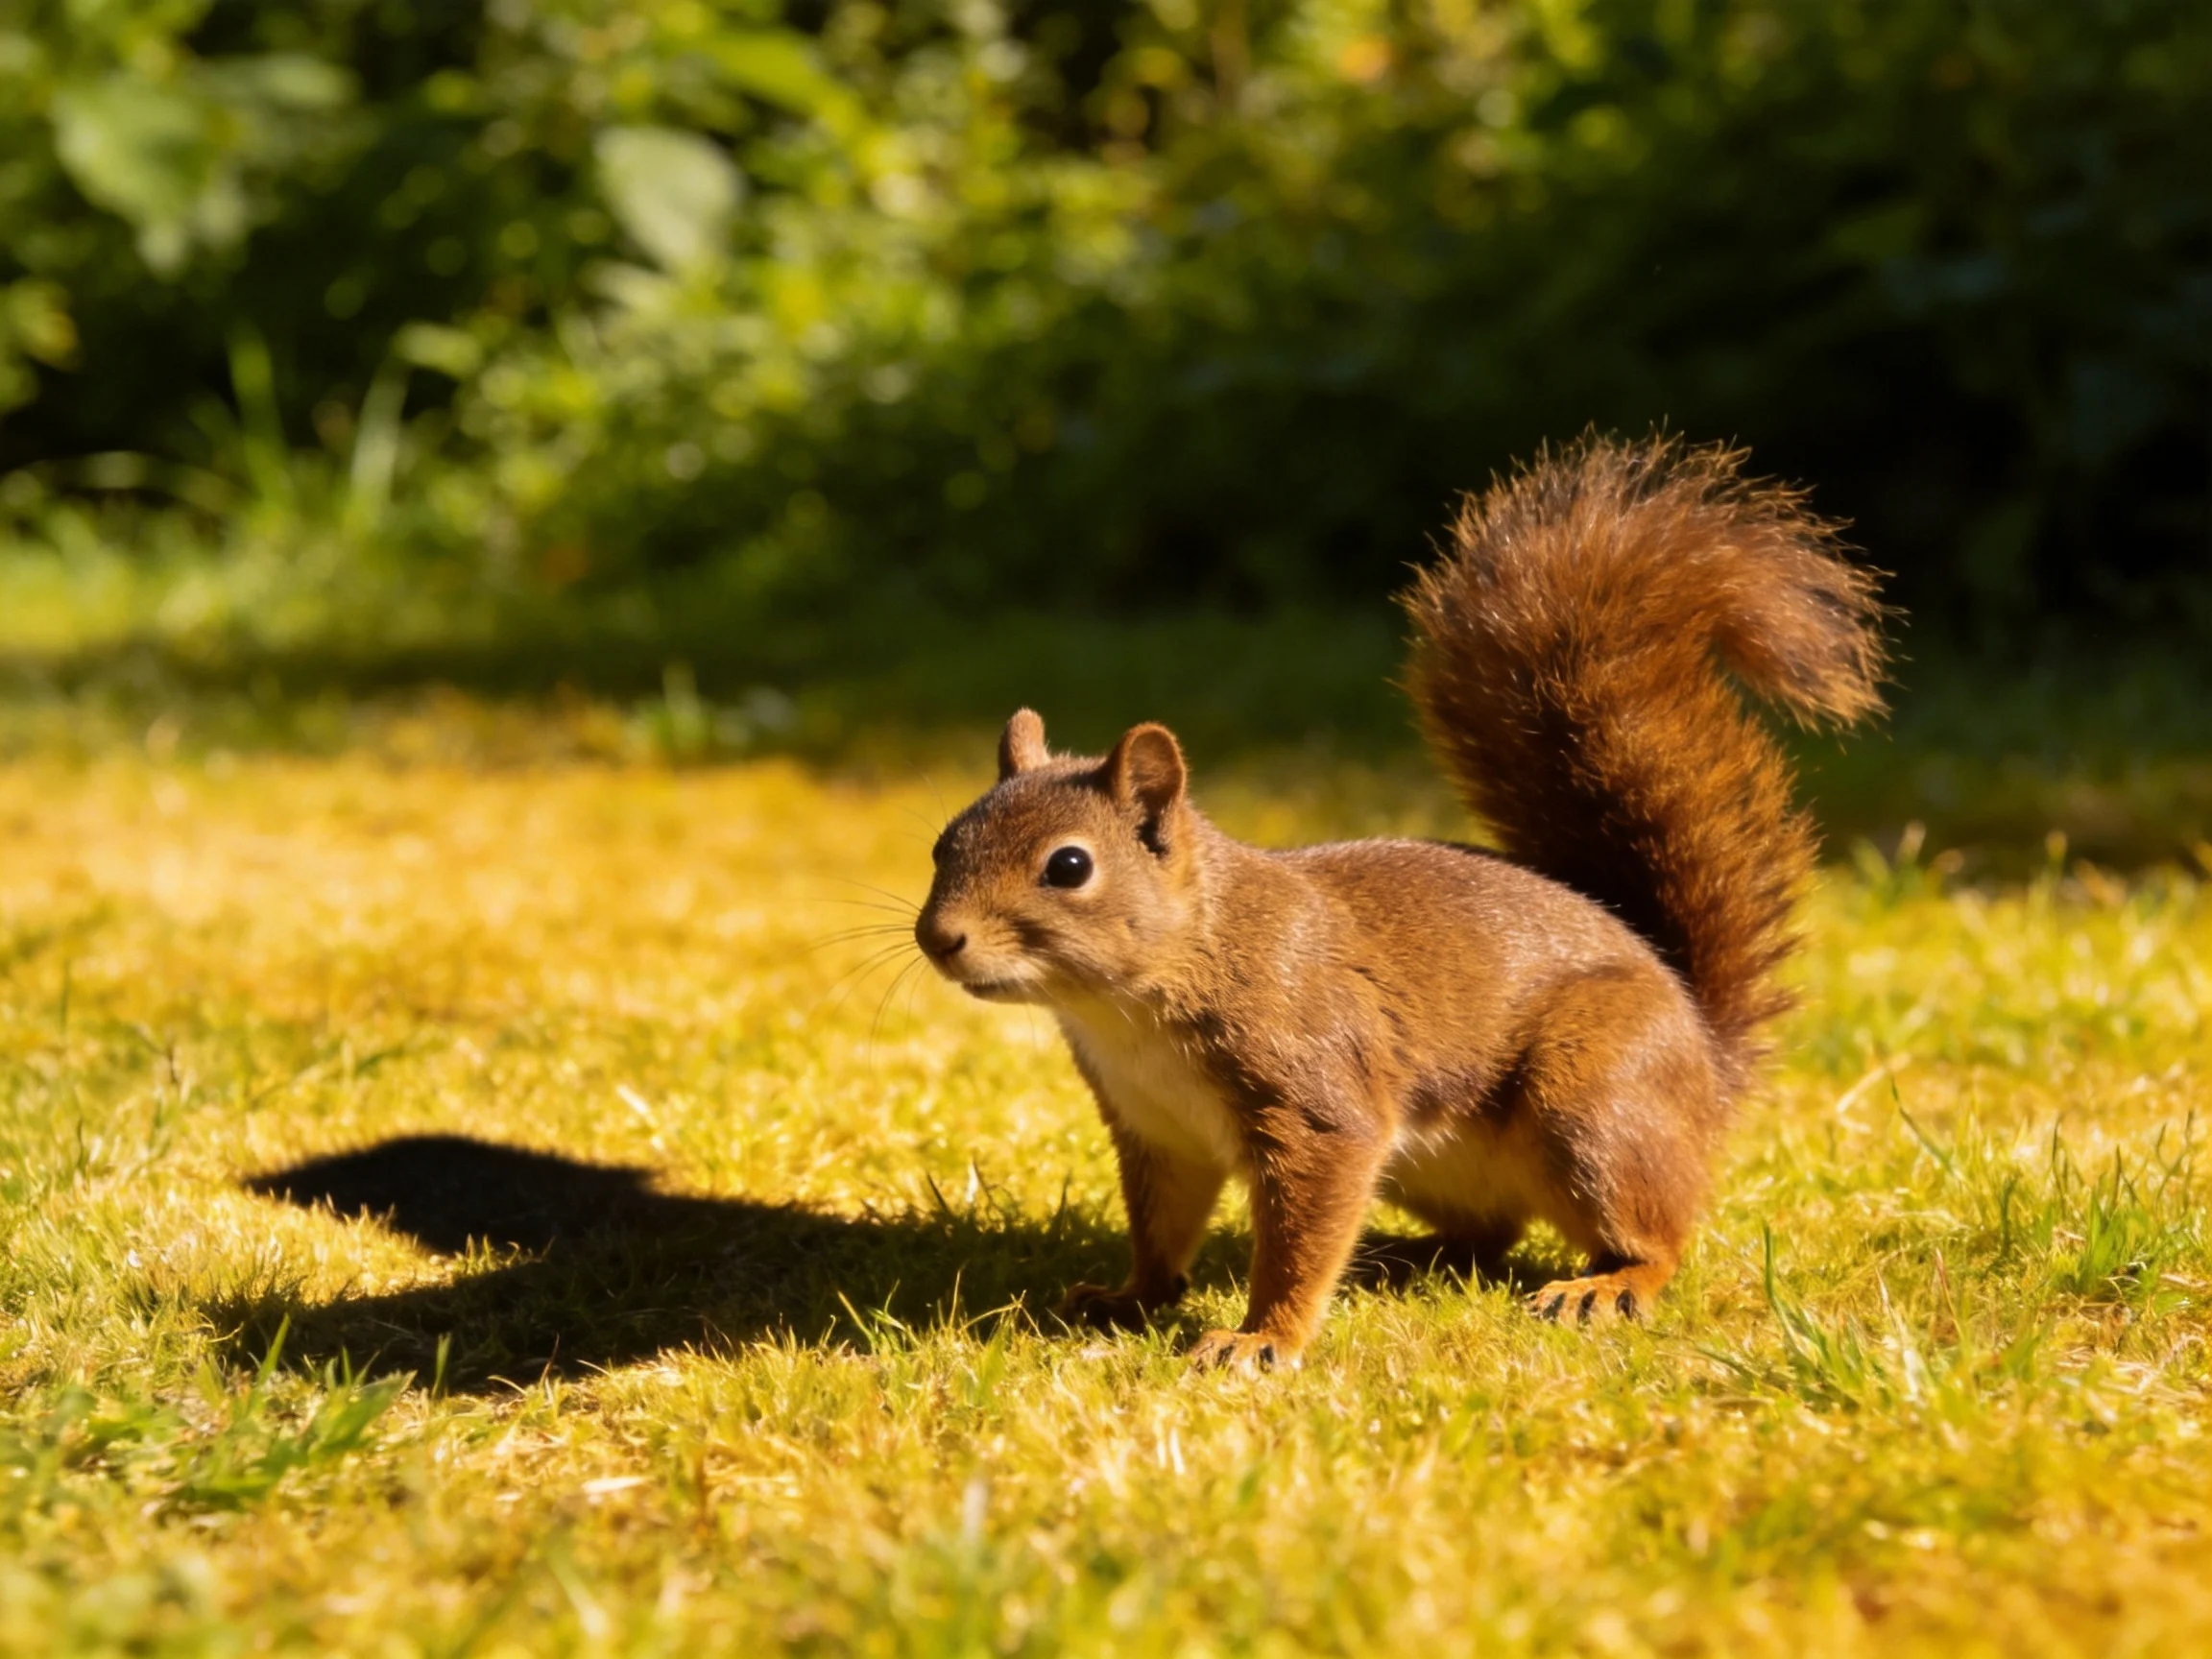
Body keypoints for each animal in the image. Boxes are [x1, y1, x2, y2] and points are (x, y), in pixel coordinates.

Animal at [914, 435, 1886, 1370]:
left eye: (1069, 866)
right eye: (942, 842)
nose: (937, 939)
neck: (1145, 994)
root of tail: (1707, 1057)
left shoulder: (1315, 1101)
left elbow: (1300, 1237)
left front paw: (1263, 1339)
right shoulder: (1159, 1131)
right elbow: (1162, 1230)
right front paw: (1128, 1298)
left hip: (1594, 1096)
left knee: (1656, 1233)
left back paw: (1608, 1284)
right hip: (1436, 1162)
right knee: (1490, 1233)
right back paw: (1400, 1258)